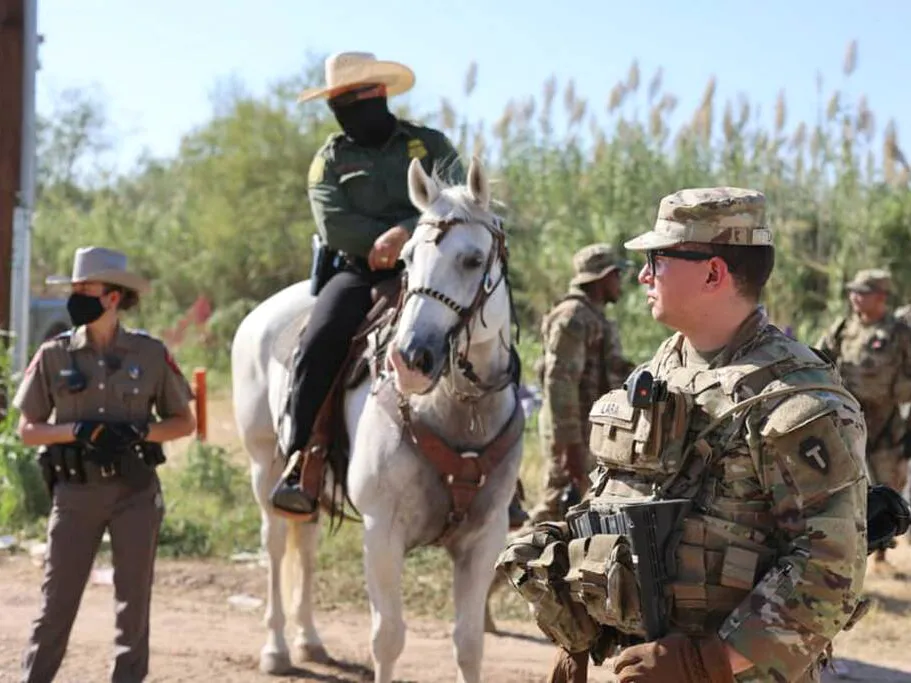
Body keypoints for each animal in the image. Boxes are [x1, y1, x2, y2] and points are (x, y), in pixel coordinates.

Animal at [232, 156, 524, 683]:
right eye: (406, 259)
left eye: (473, 260)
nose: (410, 359)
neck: (457, 412)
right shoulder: (382, 533)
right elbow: (387, 638)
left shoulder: (484, 538)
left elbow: (469, 643)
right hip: (264, 464)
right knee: (276, 546)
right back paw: (277, 648)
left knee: (305, 543)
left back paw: (310, 641)